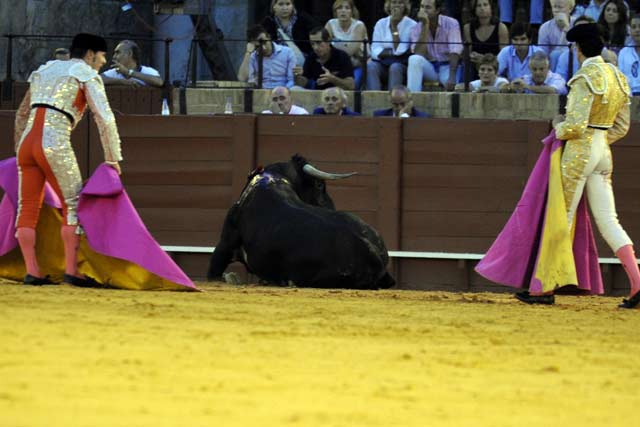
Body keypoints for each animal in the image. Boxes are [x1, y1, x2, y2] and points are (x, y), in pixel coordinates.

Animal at [206, 155, 396, 290]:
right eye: (319, 185)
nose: (331, 206)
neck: (273, 180)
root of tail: (371, 250)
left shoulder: (224, 244)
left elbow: (213, 274)